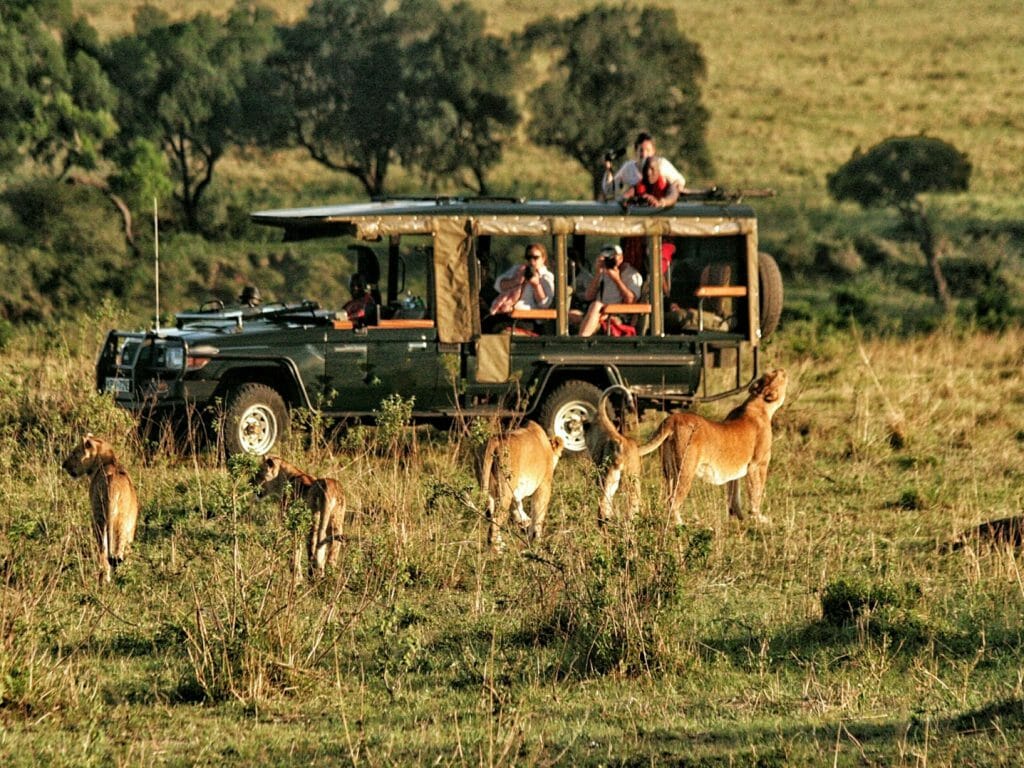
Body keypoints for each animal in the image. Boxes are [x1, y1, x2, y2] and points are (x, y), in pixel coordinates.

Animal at [61, 434, 139, 586]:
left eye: (74, 453)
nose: (63, 465)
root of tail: (113, 485)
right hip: (123, 521)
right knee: (120, 551)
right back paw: (123, 579)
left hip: (100, 518)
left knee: (103, 550)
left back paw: (103, 580)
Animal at [479, 420, 564, 548]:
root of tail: (496, 439)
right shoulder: (544, 485)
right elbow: (538, 514)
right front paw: (536, 542)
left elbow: (518, 508)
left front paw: (525, 523)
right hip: (506, 489)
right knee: (496, 520)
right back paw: (497, 549)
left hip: (491, 488)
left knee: (492, 515)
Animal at [637, 369, 788, 524]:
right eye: (778, 375)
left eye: (768, 375)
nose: (781, 370)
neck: (758, 403)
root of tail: (672, 419)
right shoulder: (757, 465)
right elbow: (756, 492)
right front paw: (759, 518)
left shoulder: (736, 473)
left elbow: (734, 495)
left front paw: (739, 518)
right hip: (685, 470)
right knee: (673, 500)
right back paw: (681, 524)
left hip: (669, 471)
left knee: (668, 495)